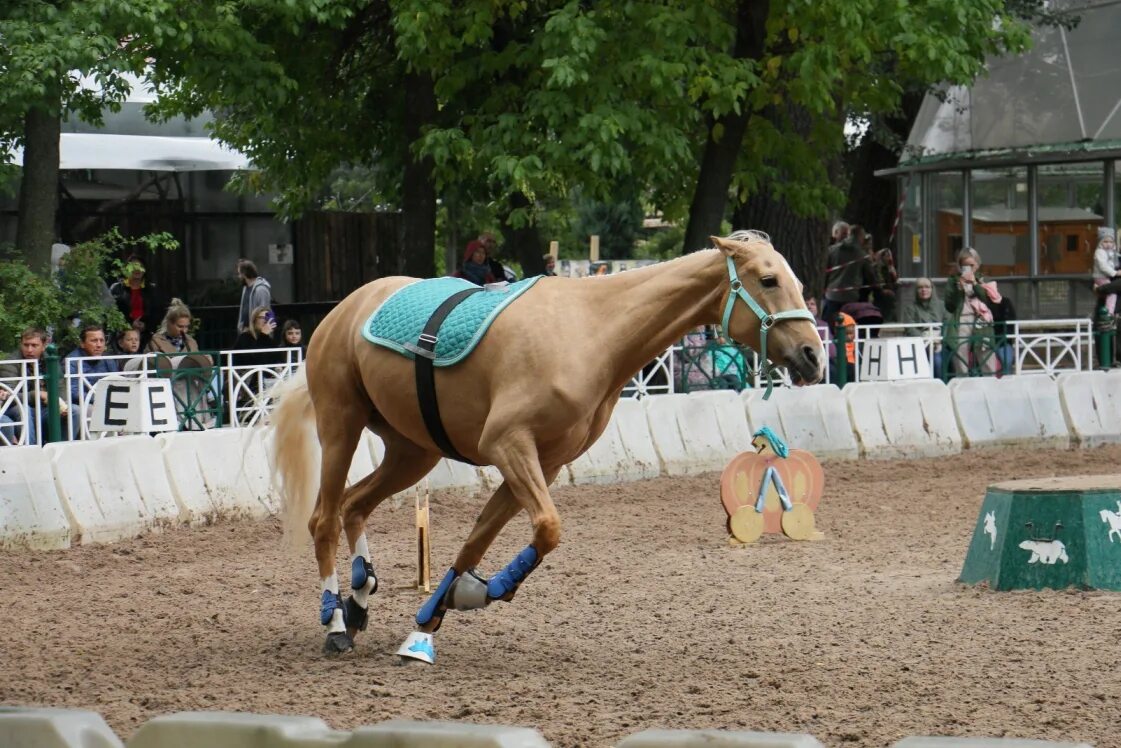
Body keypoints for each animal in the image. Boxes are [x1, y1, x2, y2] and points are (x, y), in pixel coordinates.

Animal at [271, 232, 825, 659]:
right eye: (768, 280)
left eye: (797, 281)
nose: (813, 356)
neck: (593, 333)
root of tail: (343, 309)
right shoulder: (509, 446)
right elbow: (548, 529)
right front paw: (485, 591)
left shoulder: (546, 462)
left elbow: (480, 540)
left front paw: (431, 616)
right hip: (341, 426)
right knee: (324, 518)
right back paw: (335, 622)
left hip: (413, 452)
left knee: (354, 505)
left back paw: (359, 597)